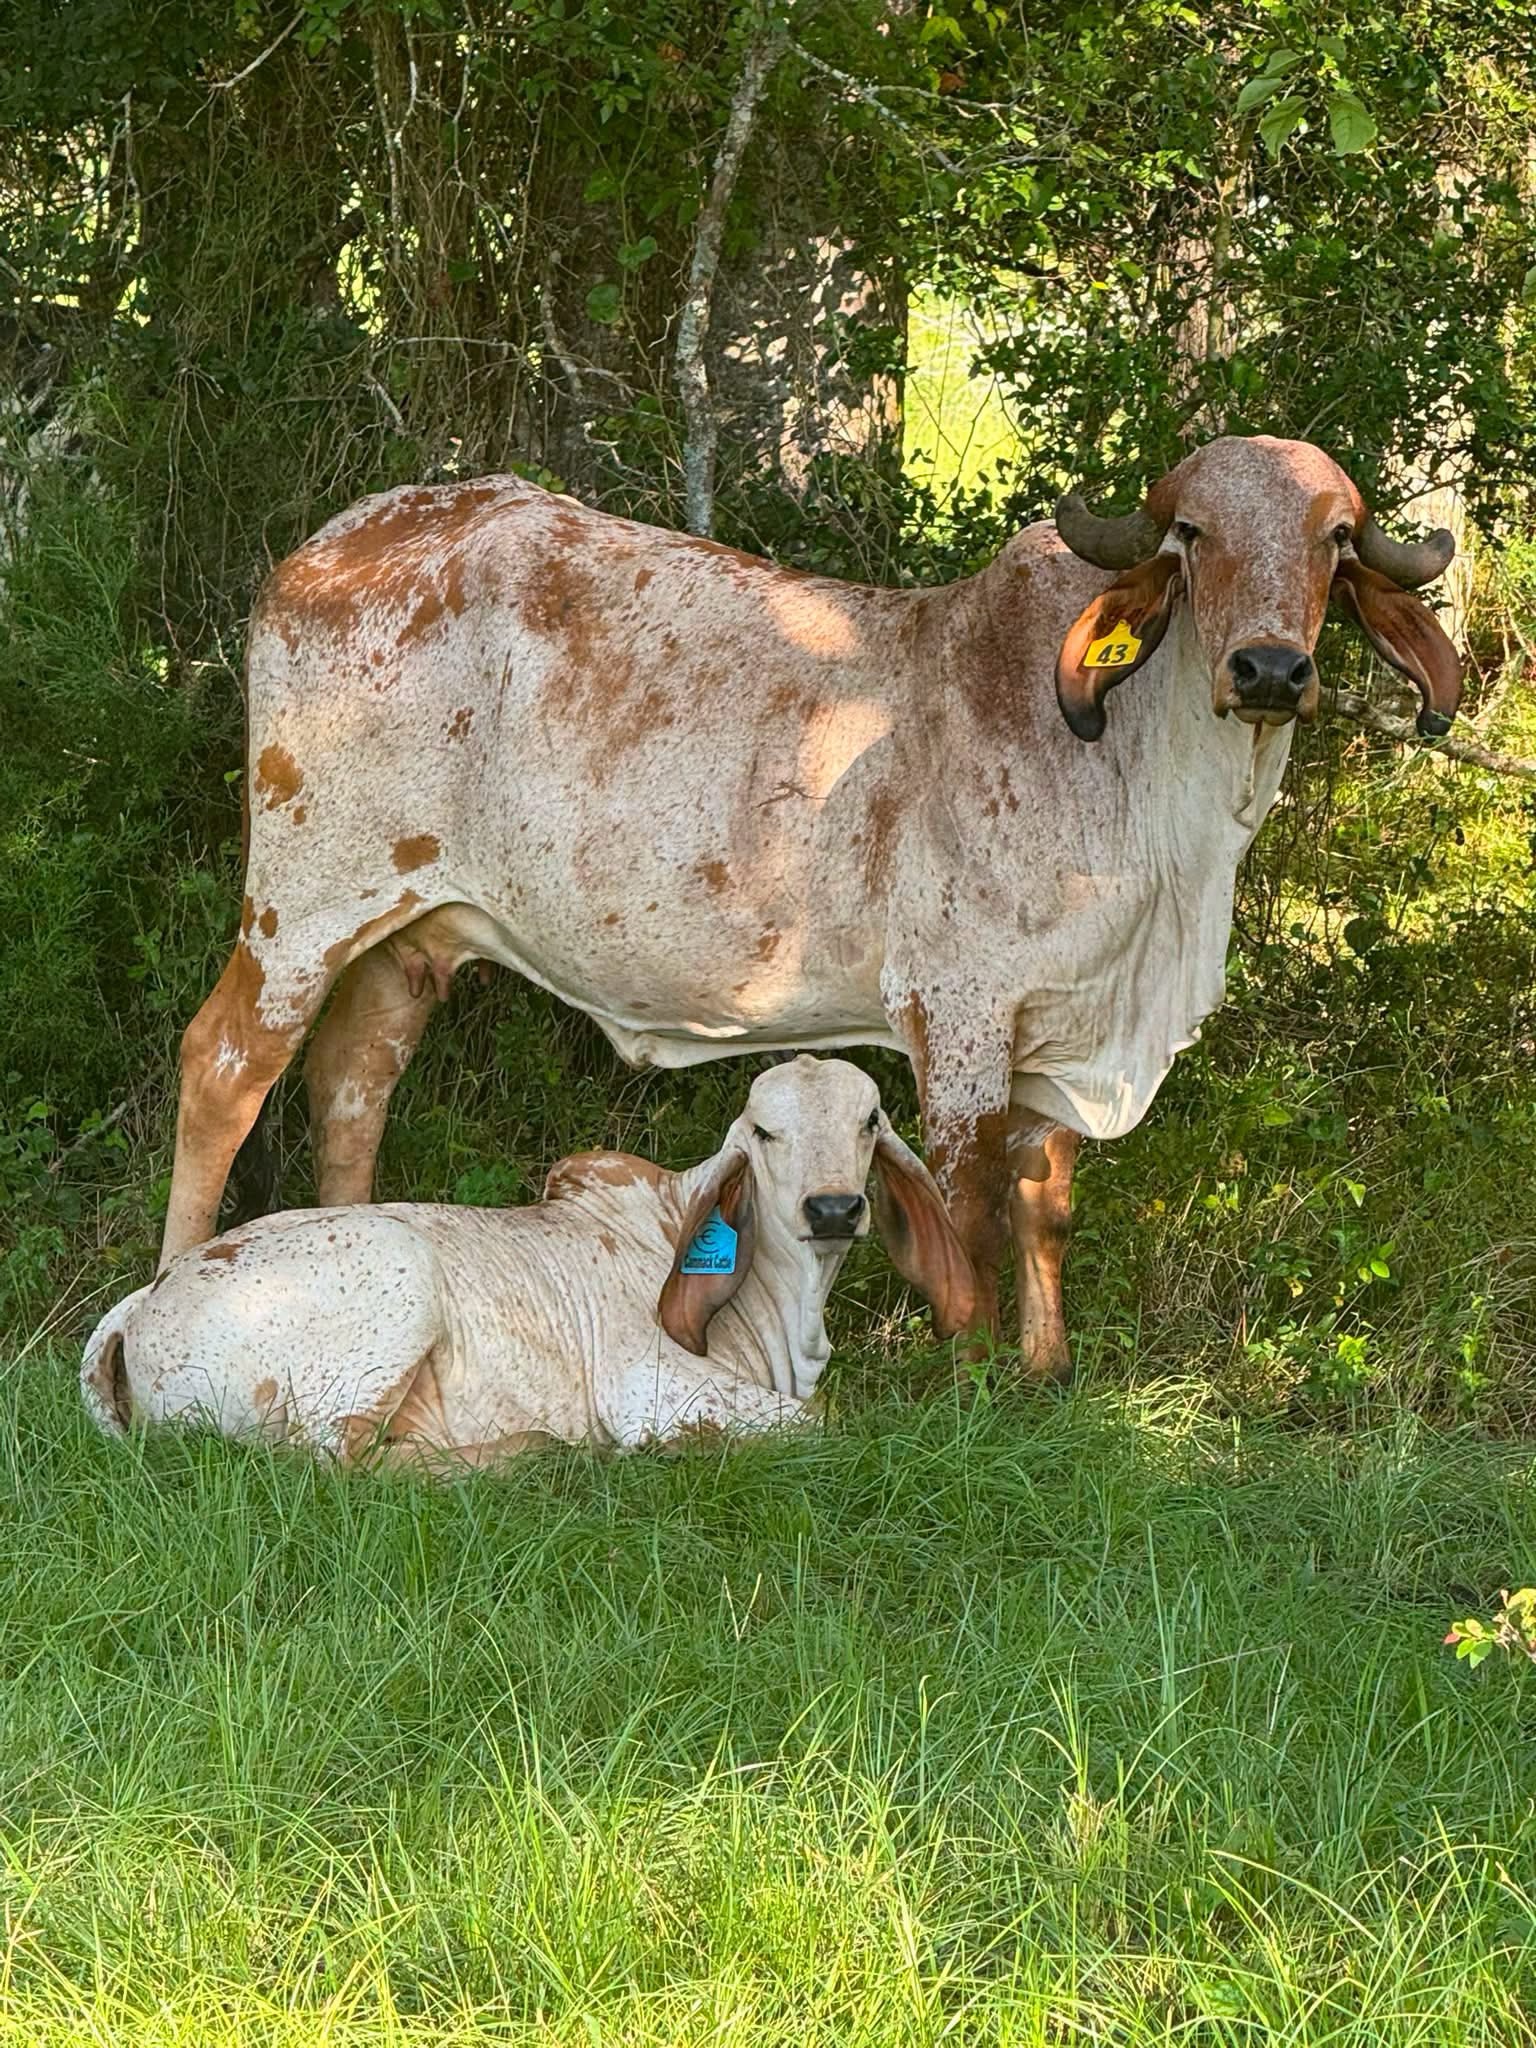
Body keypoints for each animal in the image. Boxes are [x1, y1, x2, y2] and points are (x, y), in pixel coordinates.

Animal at [85, 1059, 974, 1465]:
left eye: (870, 1120)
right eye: (763, 1131)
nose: (833, 1210)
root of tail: (146, 1298)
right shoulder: (649, 1387)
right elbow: (830, 1423)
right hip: (397, 1279)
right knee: (335, 1461)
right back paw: (538, 1453)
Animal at [158, 433, 1459, 1382]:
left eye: (1336, 540)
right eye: (1193, 534)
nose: (1270, 670)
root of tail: (328, 546)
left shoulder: (1060, 1034)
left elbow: (1046, 1207)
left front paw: (1045, 1373)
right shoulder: (961, 1015)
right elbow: (971, 1215)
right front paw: (972, 1379)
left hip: (413, 924)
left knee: (354, 1079)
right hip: (305, 895)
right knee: (224, 1063)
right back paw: (172, 1284)